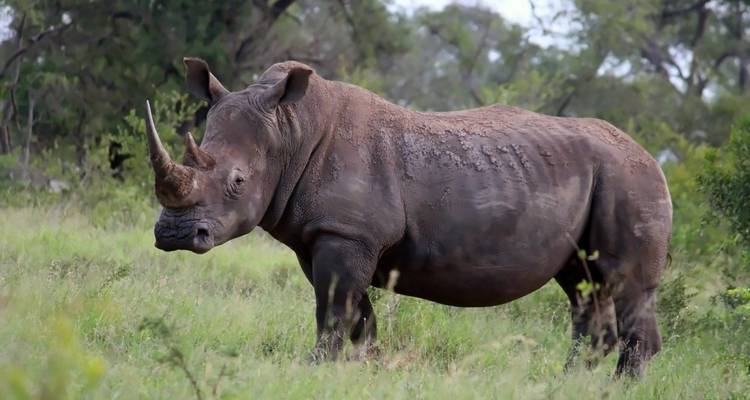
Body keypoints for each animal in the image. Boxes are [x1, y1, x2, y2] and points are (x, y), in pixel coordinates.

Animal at [145, 57, 672, 377]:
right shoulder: (323, 237)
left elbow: (333, 312)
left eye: (237, 182)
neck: (290, 131)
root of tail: (653, 156)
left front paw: (314, 369)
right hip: (604, 178)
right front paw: (365, 371)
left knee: (625, 285)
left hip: (630, 178)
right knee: (582, 284)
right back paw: (567, 381)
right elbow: (357, 317)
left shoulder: (346, 234)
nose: (173, 234)